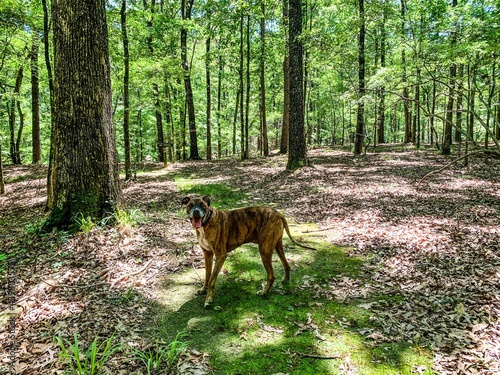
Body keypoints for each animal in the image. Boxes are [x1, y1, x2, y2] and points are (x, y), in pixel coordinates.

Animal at [180, 197, 314, 308]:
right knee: (286, 264)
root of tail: (278, 213)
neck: (206, 222)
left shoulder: (220, 256)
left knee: (271, 275)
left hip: (264, 250)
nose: (196, 211)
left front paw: (208, 300)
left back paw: (264, 292)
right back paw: (285, 280)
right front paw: (203, 290)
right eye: (190, 205)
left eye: (202, 206)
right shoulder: (207, 254)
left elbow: (212, 279)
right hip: (277, 246)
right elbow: (207, 276)